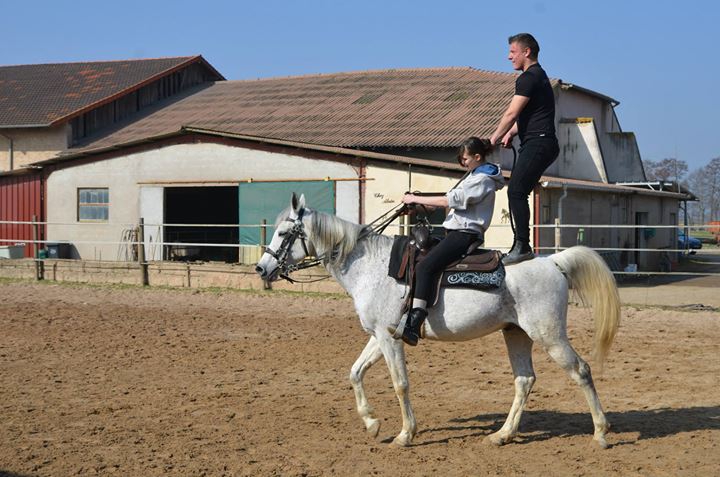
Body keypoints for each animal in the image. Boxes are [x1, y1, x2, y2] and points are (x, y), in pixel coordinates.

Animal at [255, 193, 621, 448]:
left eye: (284, 232)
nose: (261, 268)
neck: (370, 265)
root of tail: (553, 263)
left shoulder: (388, 339)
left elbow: (400, 384)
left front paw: (405, 434)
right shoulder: (381, 335)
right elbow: (355, 373)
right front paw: (372, 423)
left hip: (549, 335)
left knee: (581, 371)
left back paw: (600, 433)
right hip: (516, 334)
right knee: (524, 380)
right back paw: (502, 435)